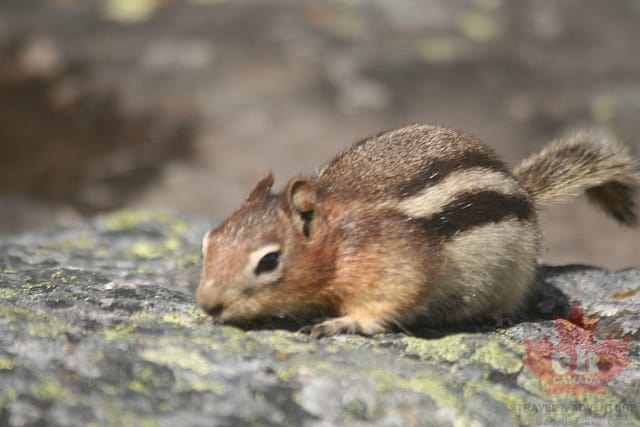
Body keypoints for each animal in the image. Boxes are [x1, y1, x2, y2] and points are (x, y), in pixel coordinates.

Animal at [196, 123, 640, 338]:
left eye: (268, 261)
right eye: (207, 245)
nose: (208, 305)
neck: (340, 238)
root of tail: (522, 190)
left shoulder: (399, 264)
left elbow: (393, 300)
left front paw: (341, 323)